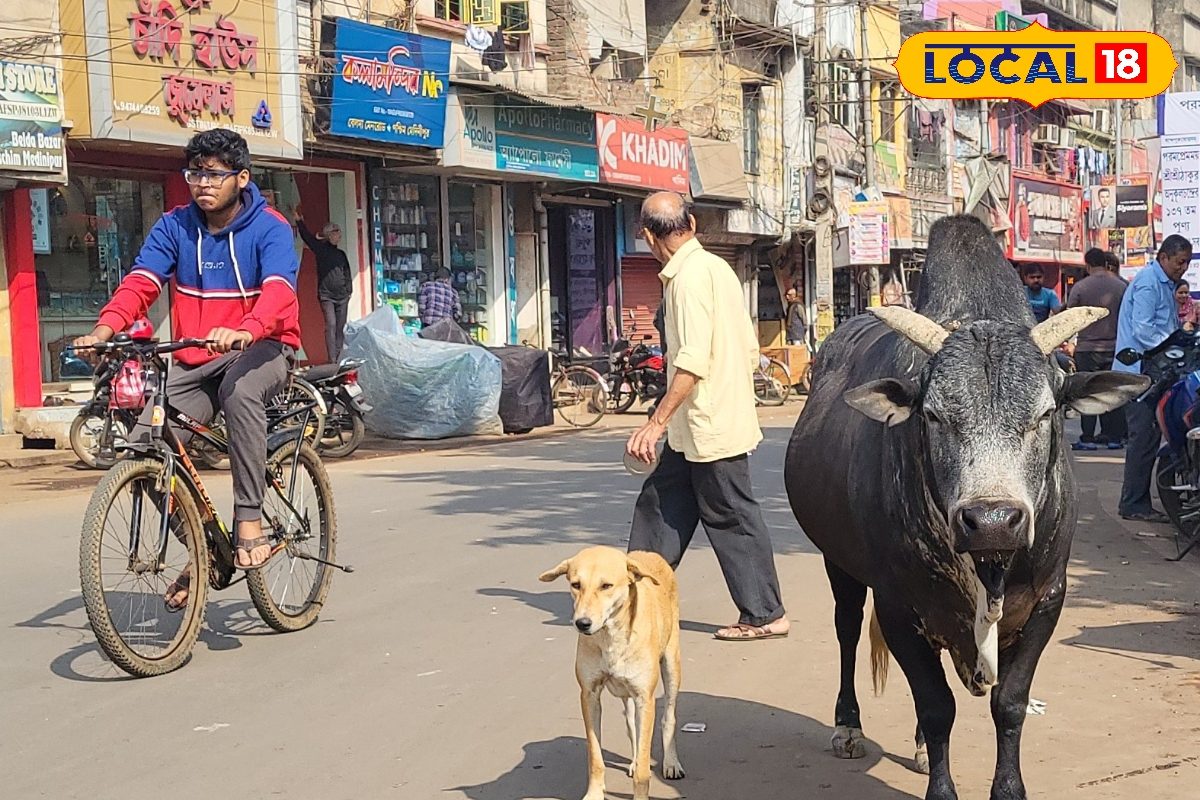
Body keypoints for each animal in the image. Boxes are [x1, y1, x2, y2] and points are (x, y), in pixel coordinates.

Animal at [542, 546, 686, 796]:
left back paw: (670, 762)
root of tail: (649, 553)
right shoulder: (589, 696)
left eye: (606, 586)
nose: (582, 623)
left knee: (668, 717)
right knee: (632, 726)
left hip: (671, 665)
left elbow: (643, 770)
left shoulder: (645, 698)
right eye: (576, 584)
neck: (610, 637)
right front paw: (594, 794)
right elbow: (595, 756)